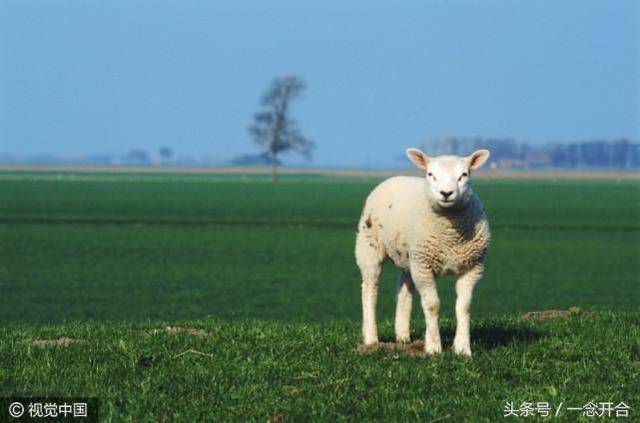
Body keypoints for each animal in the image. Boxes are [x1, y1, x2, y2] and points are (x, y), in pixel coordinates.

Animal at [356, 147, 490, 356]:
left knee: (404, 288)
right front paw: (434, 348)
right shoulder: (424, 267)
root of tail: (395, 177)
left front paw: (462, 349)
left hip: (410, 256)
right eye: (430, 174)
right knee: (370, 290)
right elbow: (432, 305)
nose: (446, 193)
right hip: (369, 247)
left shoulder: (472, 267)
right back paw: (371, 339)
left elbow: (464, 307)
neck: (450, 236)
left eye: (464, 175)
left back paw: (403, 336)